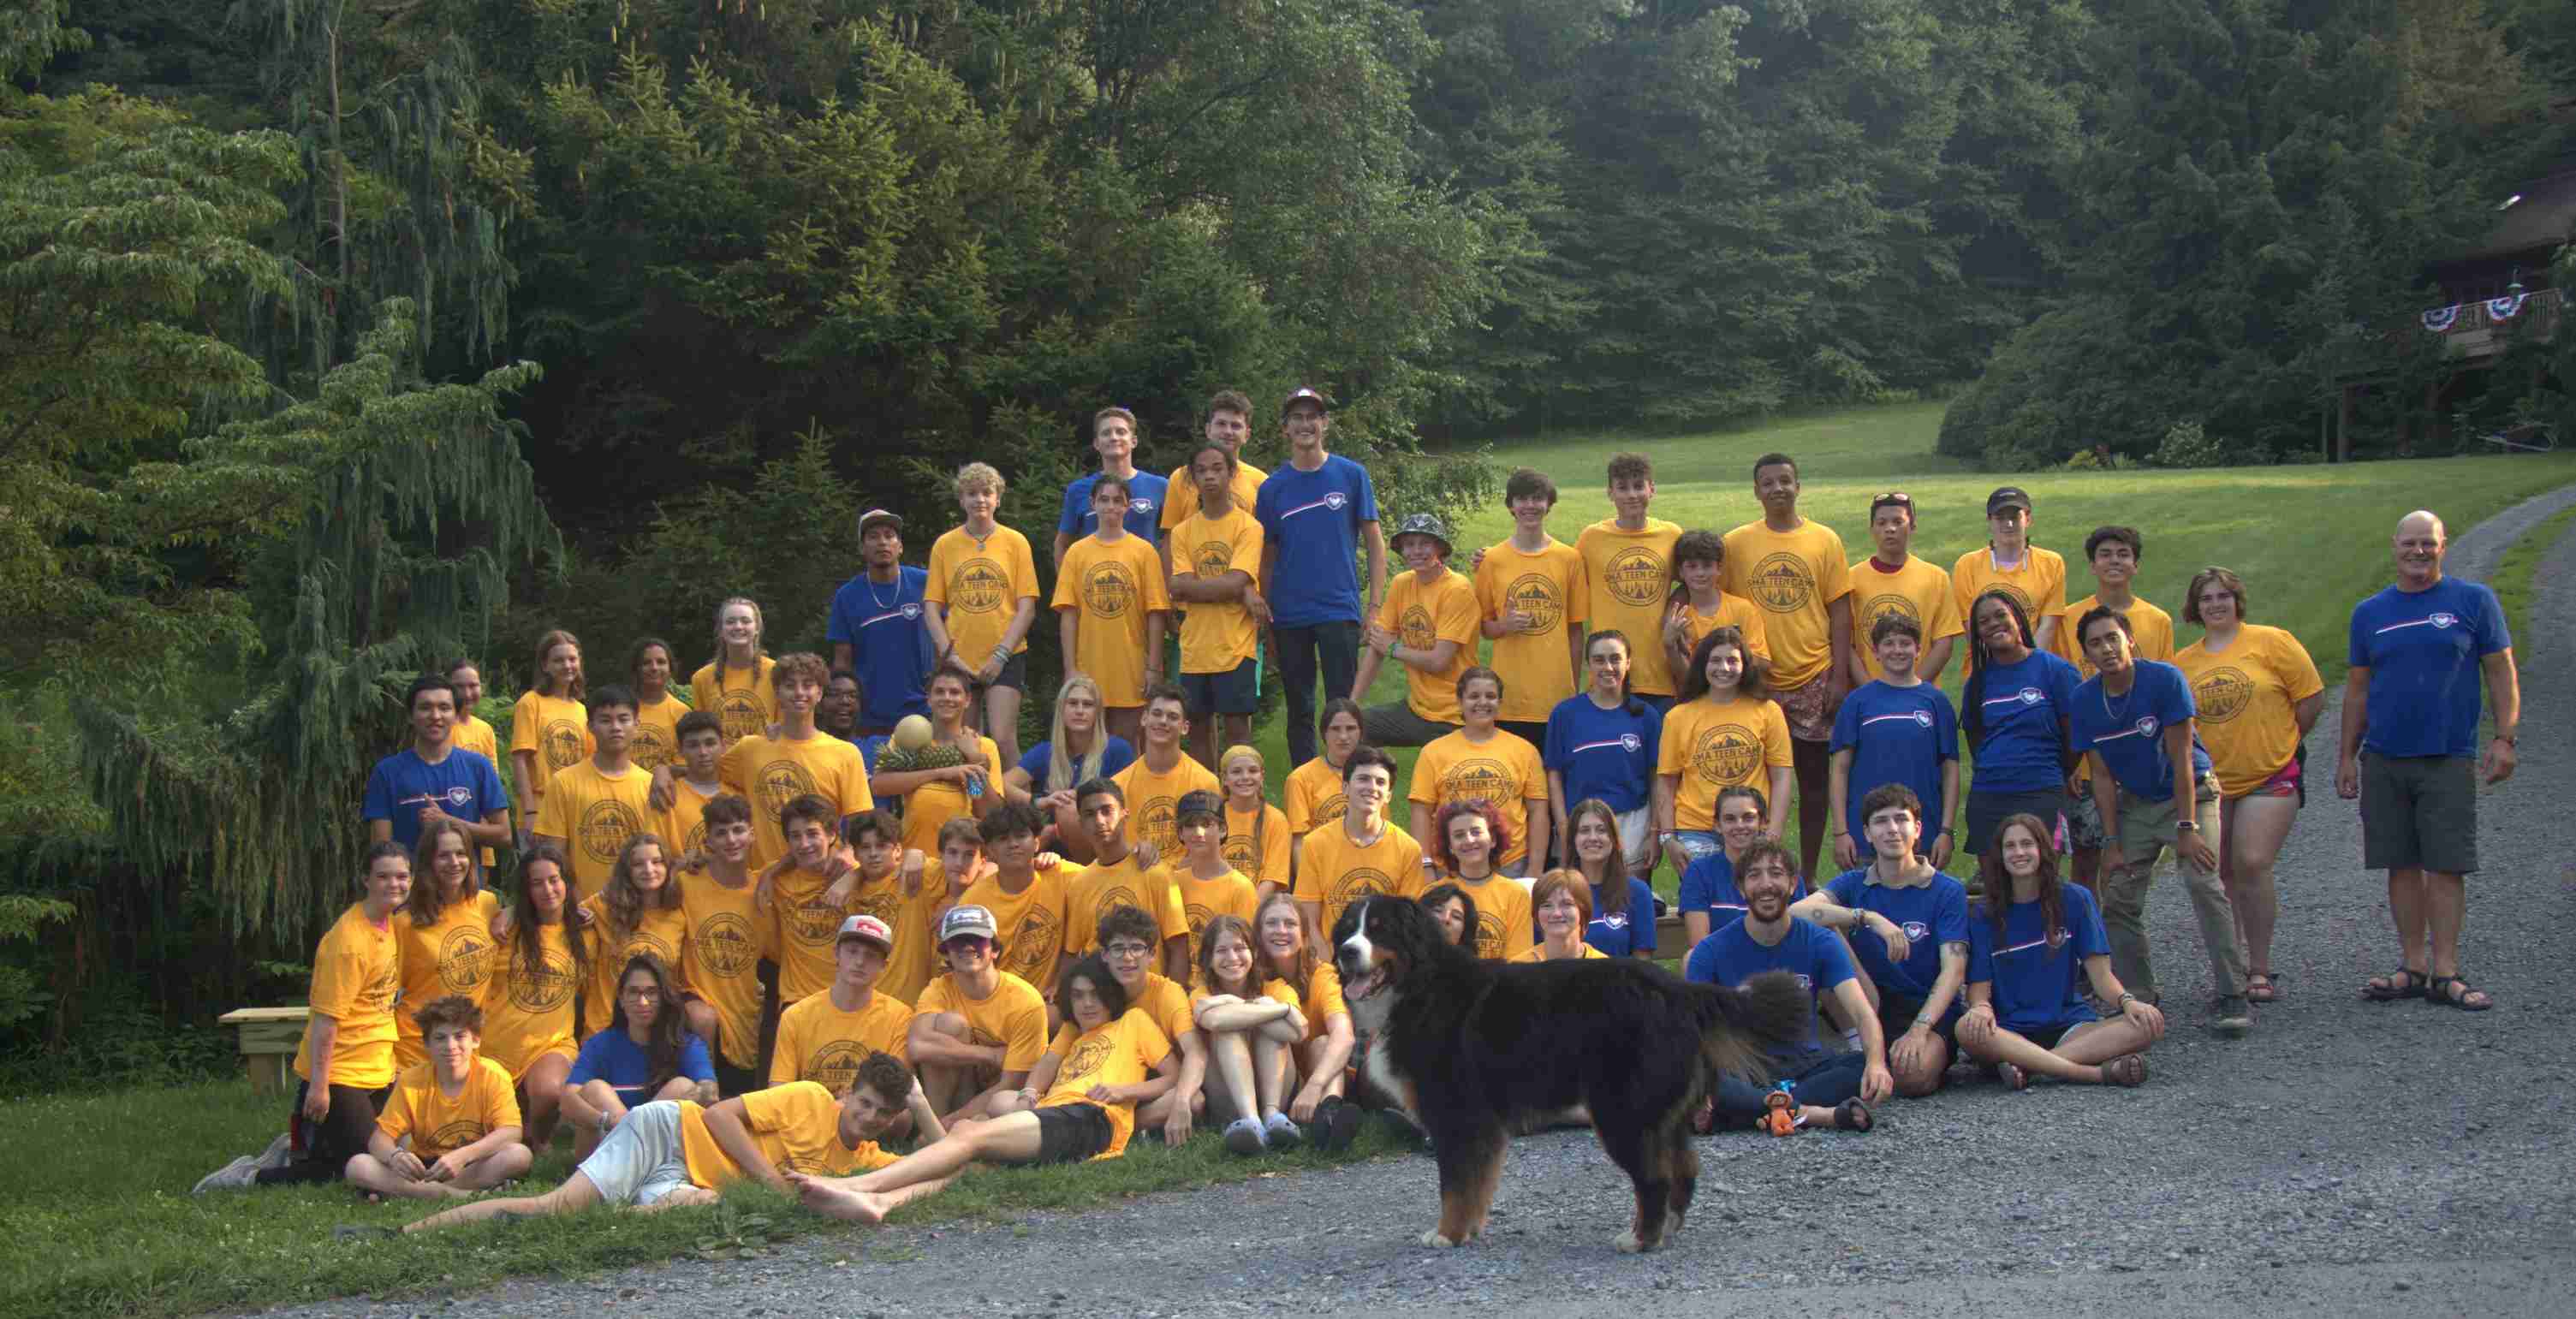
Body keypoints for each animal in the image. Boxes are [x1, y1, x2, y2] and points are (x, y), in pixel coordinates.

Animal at [1339, 891, 1803, 1251]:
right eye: (1348, 928)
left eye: (1380, 930)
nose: (1346, 951)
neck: (1418, 987)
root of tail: (1677, 989)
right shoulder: (1481, 1123)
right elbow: (1476, 1185)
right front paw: (1468, 1230)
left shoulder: (1455, 1113)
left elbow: (1454, 1185)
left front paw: (1446, 1235)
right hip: (1663, 1115)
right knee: (1683, 1169)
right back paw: (1666, 1229)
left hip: (1622, 1111)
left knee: (1654, 1178)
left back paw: (1640, 1239)